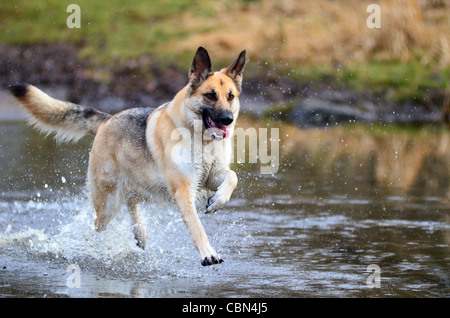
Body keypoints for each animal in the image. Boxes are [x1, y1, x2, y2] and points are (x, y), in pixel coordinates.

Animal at [8, 47, 246, 266]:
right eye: (210, 95)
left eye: (231, 97)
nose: (227, 119)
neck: (202, 141)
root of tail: (106, 121)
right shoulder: (183, 190)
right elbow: (197, 227)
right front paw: (208, 253)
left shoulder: (209, 178)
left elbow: (232, 177)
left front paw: (217, 201)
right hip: (110, 202)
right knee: (101, 224)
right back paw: (102, 247)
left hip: (152, 189)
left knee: (132, 200)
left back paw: (140, 233)